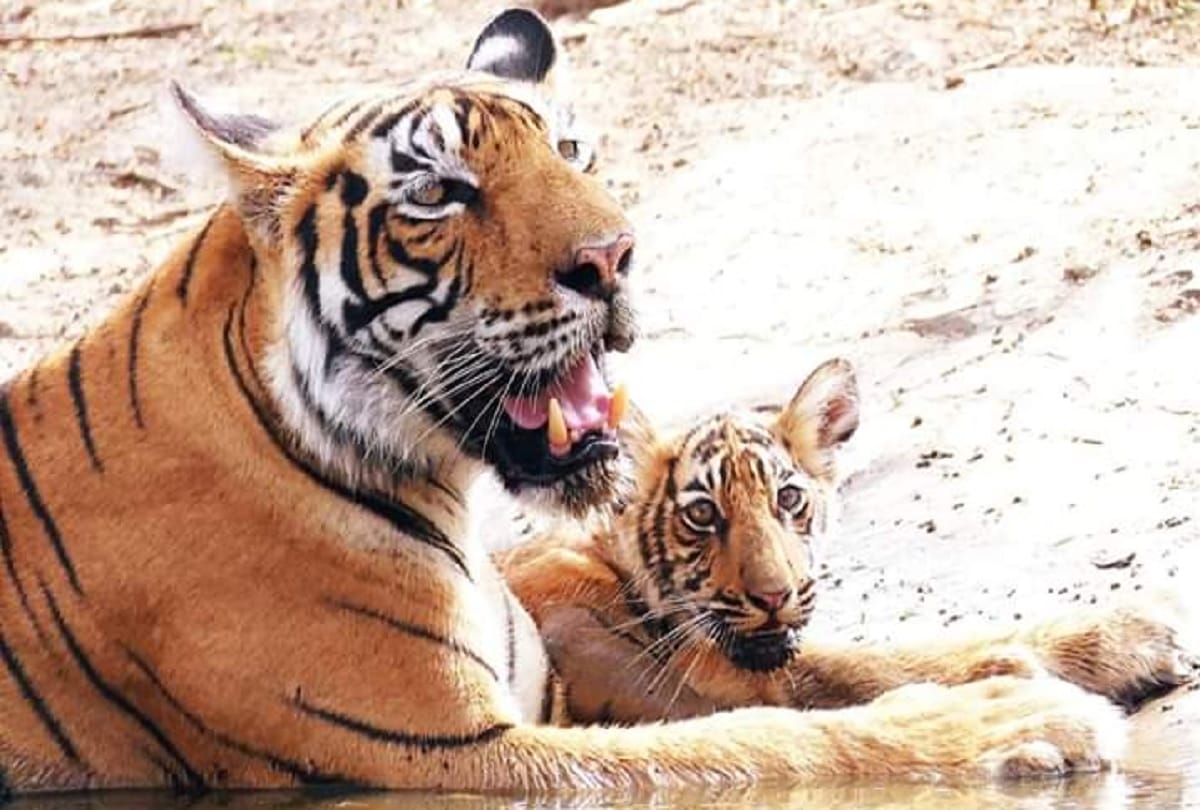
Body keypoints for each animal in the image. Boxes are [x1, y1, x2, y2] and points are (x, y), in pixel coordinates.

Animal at [0, 8, 1127, 796]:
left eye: (570, 151)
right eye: (439, 193)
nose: (616, 256)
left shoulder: (554, 685)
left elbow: (823, 665)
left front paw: (1097, 643)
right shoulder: (448, 749)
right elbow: (760, 737)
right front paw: (1021, 719)